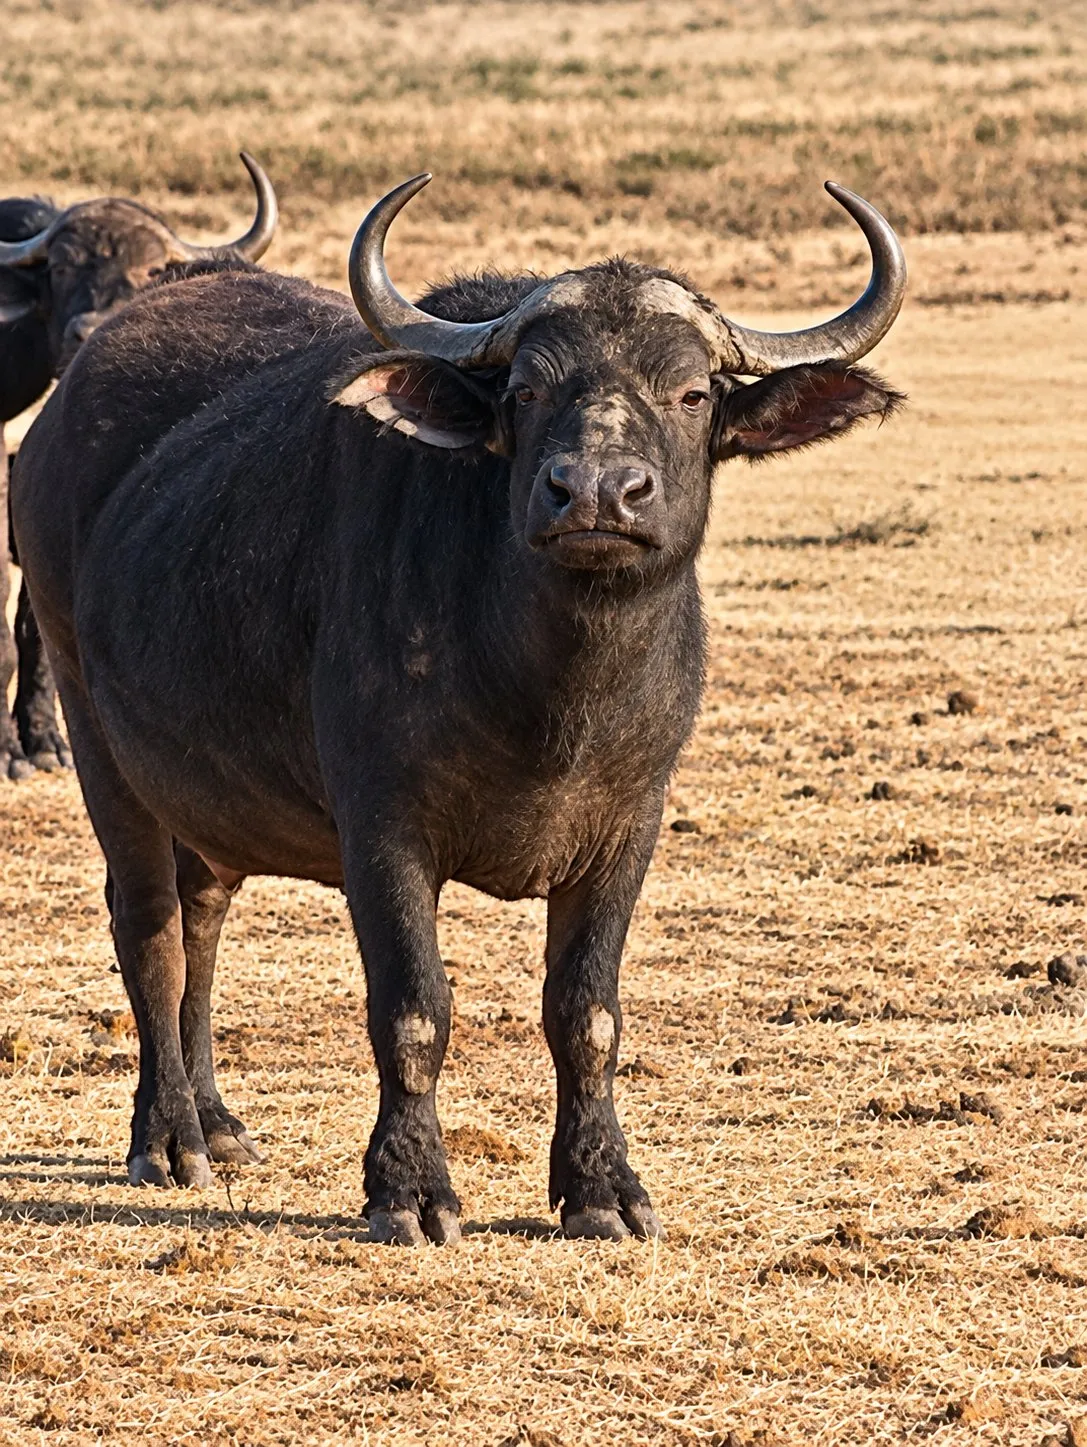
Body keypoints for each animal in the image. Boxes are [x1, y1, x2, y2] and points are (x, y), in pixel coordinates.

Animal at [0, 154, 277, 779]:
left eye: (150, 269)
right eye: (59, 267)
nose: (87, 327)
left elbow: (34, 621)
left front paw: (42, 740)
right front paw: (10, 750)